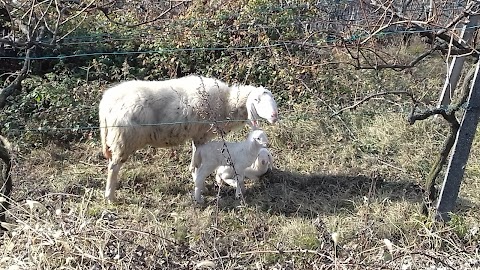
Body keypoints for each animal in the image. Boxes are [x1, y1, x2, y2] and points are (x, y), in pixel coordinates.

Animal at [98, 75, 278, 201]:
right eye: (257, 100)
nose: (274, 116)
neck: (227, 103)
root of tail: (106, 102)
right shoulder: (201, 134)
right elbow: (197, 163)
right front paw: (200, 186)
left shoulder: (197, 136)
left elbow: (194, 158)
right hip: (124, 139)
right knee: (113, 167)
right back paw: (110, 197)